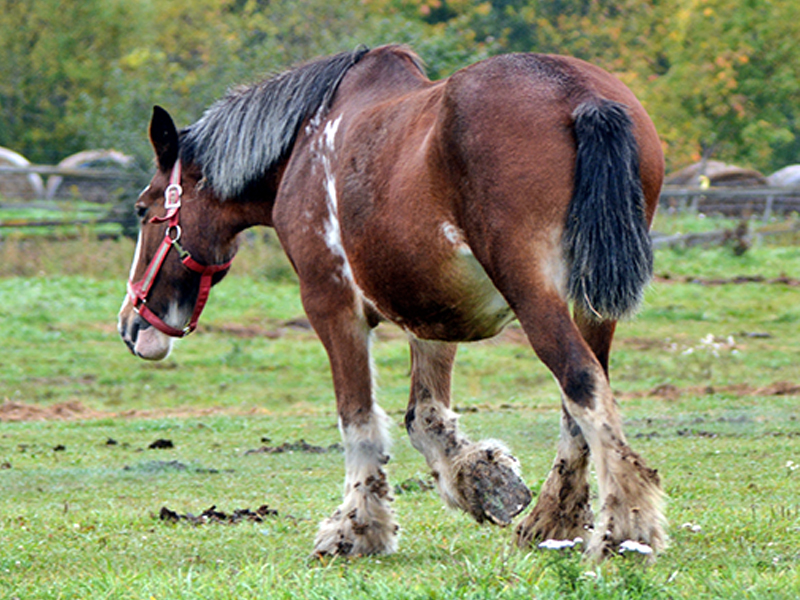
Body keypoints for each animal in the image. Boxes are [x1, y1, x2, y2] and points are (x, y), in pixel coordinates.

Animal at [118, 44, 665, 560]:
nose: (130, 325)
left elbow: (358, 420)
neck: (305, 146)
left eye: (143, 210)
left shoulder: (331, 305)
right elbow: (425, 417)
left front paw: (357, 528)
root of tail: (581, 96)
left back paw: (624, 528)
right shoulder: (435, 312)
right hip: (591, 304)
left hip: (534, 294)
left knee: (581, 381)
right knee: (583, 399)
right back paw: (555, 520)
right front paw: (482, 480)